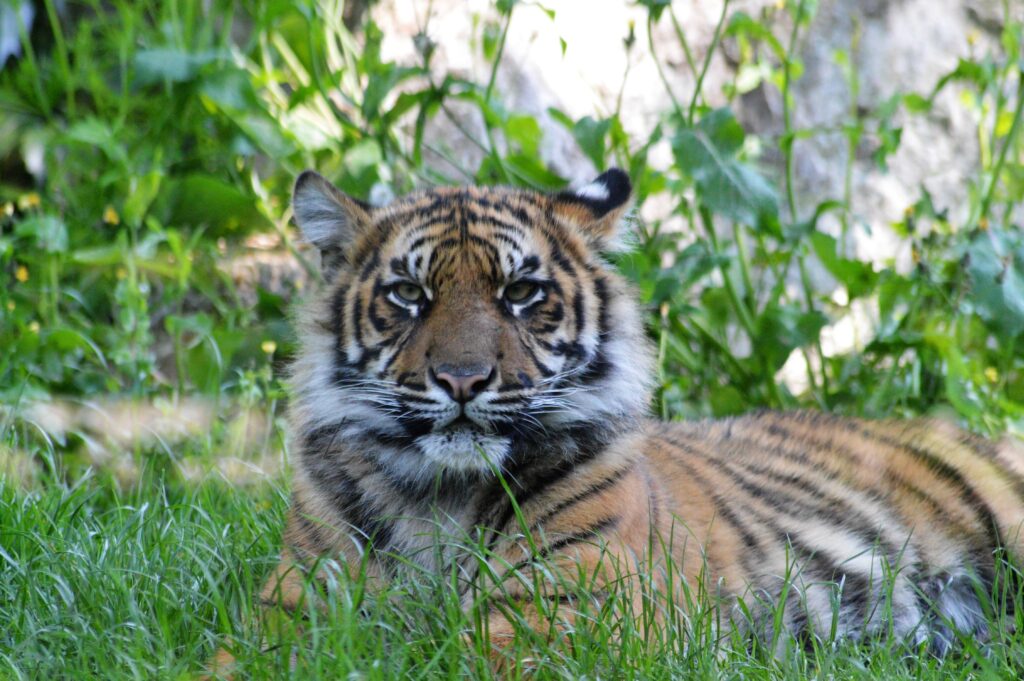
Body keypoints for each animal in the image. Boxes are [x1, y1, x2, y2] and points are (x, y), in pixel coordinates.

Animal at [211, 168, 1019, 667]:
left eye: (521, 292)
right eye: (409, 294)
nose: (463, 380)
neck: (437, 497)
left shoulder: (564, 619)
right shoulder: (292, 608)